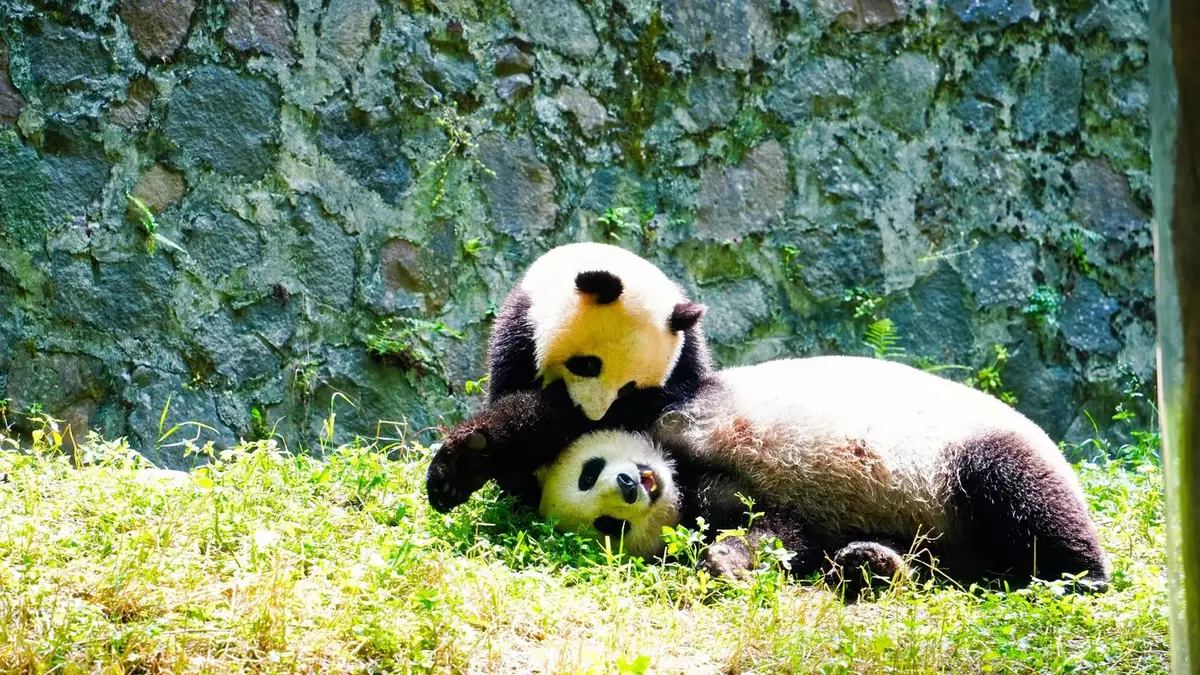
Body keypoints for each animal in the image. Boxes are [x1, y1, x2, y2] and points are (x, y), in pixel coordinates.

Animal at [426, 242, 712, 512]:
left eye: (628, 388)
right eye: (588, 365)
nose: (591, 414)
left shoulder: (684, 364)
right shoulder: (520, 335)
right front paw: (459, 470)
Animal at [449, 356, 1111, 593]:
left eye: (590, 471)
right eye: (608, 527)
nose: (631, 485)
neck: (682, 474)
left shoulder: (668, 404)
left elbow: (568, 412)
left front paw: (458, 465)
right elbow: (785, 533)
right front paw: (727, 560)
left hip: (966, 453)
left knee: (1020, 491)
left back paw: (1074, 577)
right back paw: (871, 563)